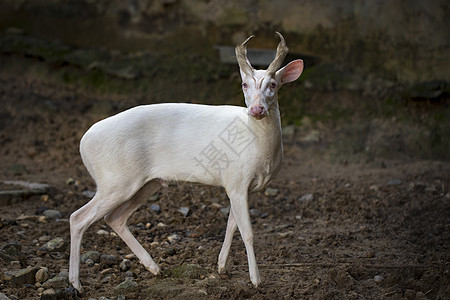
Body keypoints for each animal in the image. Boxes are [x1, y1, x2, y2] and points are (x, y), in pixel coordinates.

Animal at [68, 32, 304, 292]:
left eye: (273, 84)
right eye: (244, 84)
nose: (256, 109)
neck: (258, 150)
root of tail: (84, 143)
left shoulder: (240, 185)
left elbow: (232, 225)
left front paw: (222, 267)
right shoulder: (236, 180)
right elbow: (248, 232)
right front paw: (256, 280)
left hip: (146, 182)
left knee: (114, 218)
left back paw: (154, 268)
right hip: (115, 179)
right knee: (78, 217)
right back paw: (76, 284)